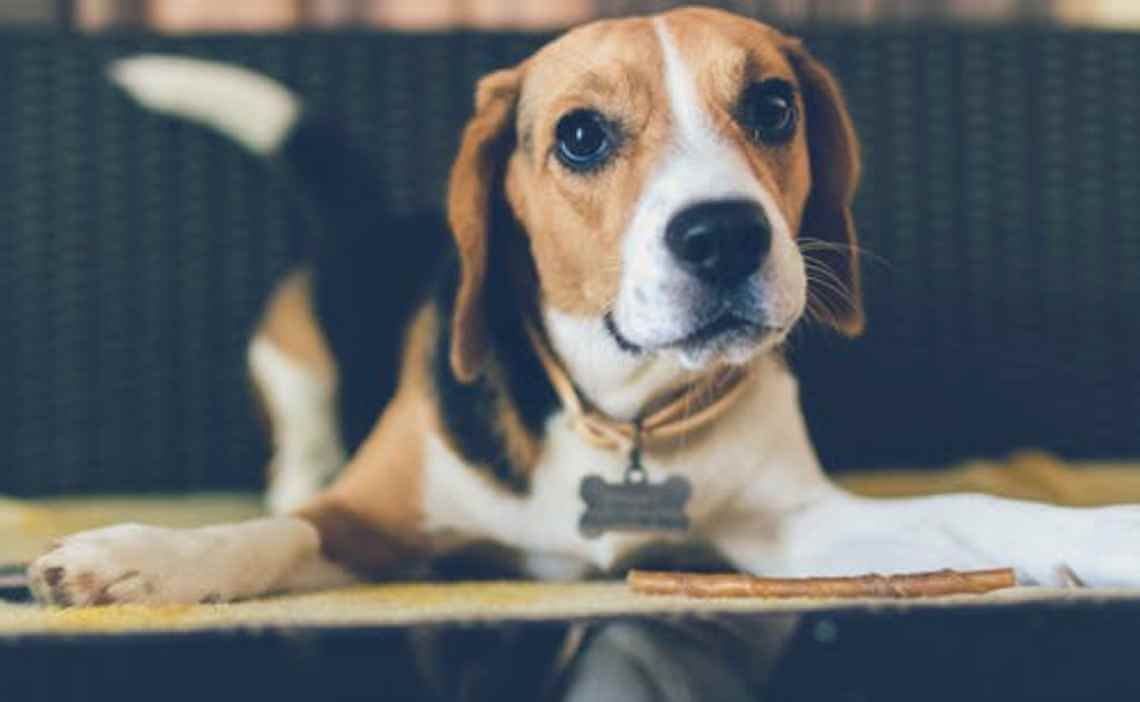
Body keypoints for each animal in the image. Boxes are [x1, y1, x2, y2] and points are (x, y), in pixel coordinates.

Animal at [26, 6, 1140, 610]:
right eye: (580, 136)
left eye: (773, 105)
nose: (724, 236)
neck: (622, 407)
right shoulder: (367, 517)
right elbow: (270, 535)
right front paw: (137, 559)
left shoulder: (798, 528)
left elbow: (977, 512)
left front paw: (1106, 536)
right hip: (288, 357)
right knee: (296, 456)